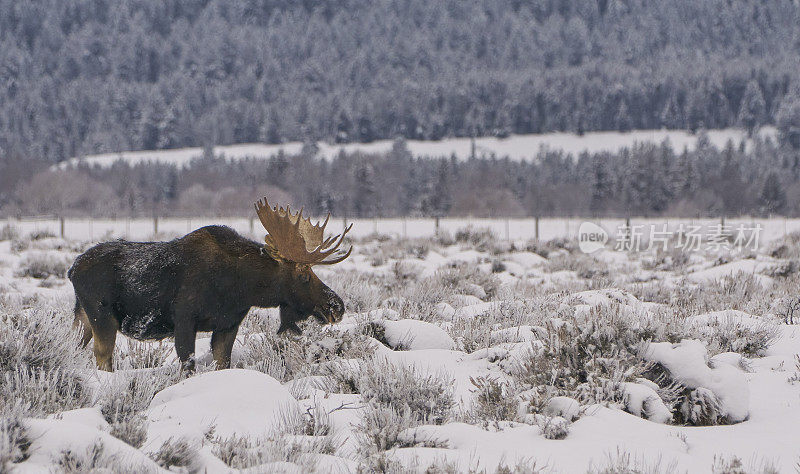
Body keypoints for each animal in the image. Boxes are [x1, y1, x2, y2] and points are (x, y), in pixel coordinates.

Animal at [69, 199, 354, 370]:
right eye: (304, 274)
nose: (336, 306)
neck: (241, 288)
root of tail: (72, 269)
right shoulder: (184, 320)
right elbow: (188, 365)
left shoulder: (228, 324)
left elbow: (222, 362)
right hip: (102, 317)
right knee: (102, 356)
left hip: (82, 317)